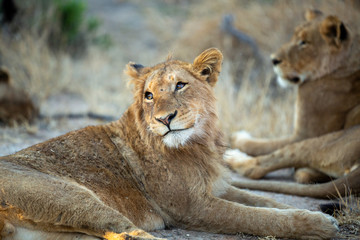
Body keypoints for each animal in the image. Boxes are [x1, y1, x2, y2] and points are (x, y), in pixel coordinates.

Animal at [0, 48, 338, 240]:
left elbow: (269, 202)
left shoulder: (217, 187)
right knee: (129, 233)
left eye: (180, 85)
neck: (199, 143)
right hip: (70, 196)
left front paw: (324, 216)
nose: (165, 119)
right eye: (149, 95)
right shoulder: (193, 207)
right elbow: (259, 217)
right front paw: (319, 226)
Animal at [228, 9, 360, 199]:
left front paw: (237, 137)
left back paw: (232, 157)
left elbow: (261, 145)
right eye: (294, 37)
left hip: (324, 141)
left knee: (258, 167)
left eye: (303, 43)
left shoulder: (304, 134)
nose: (273, 60)